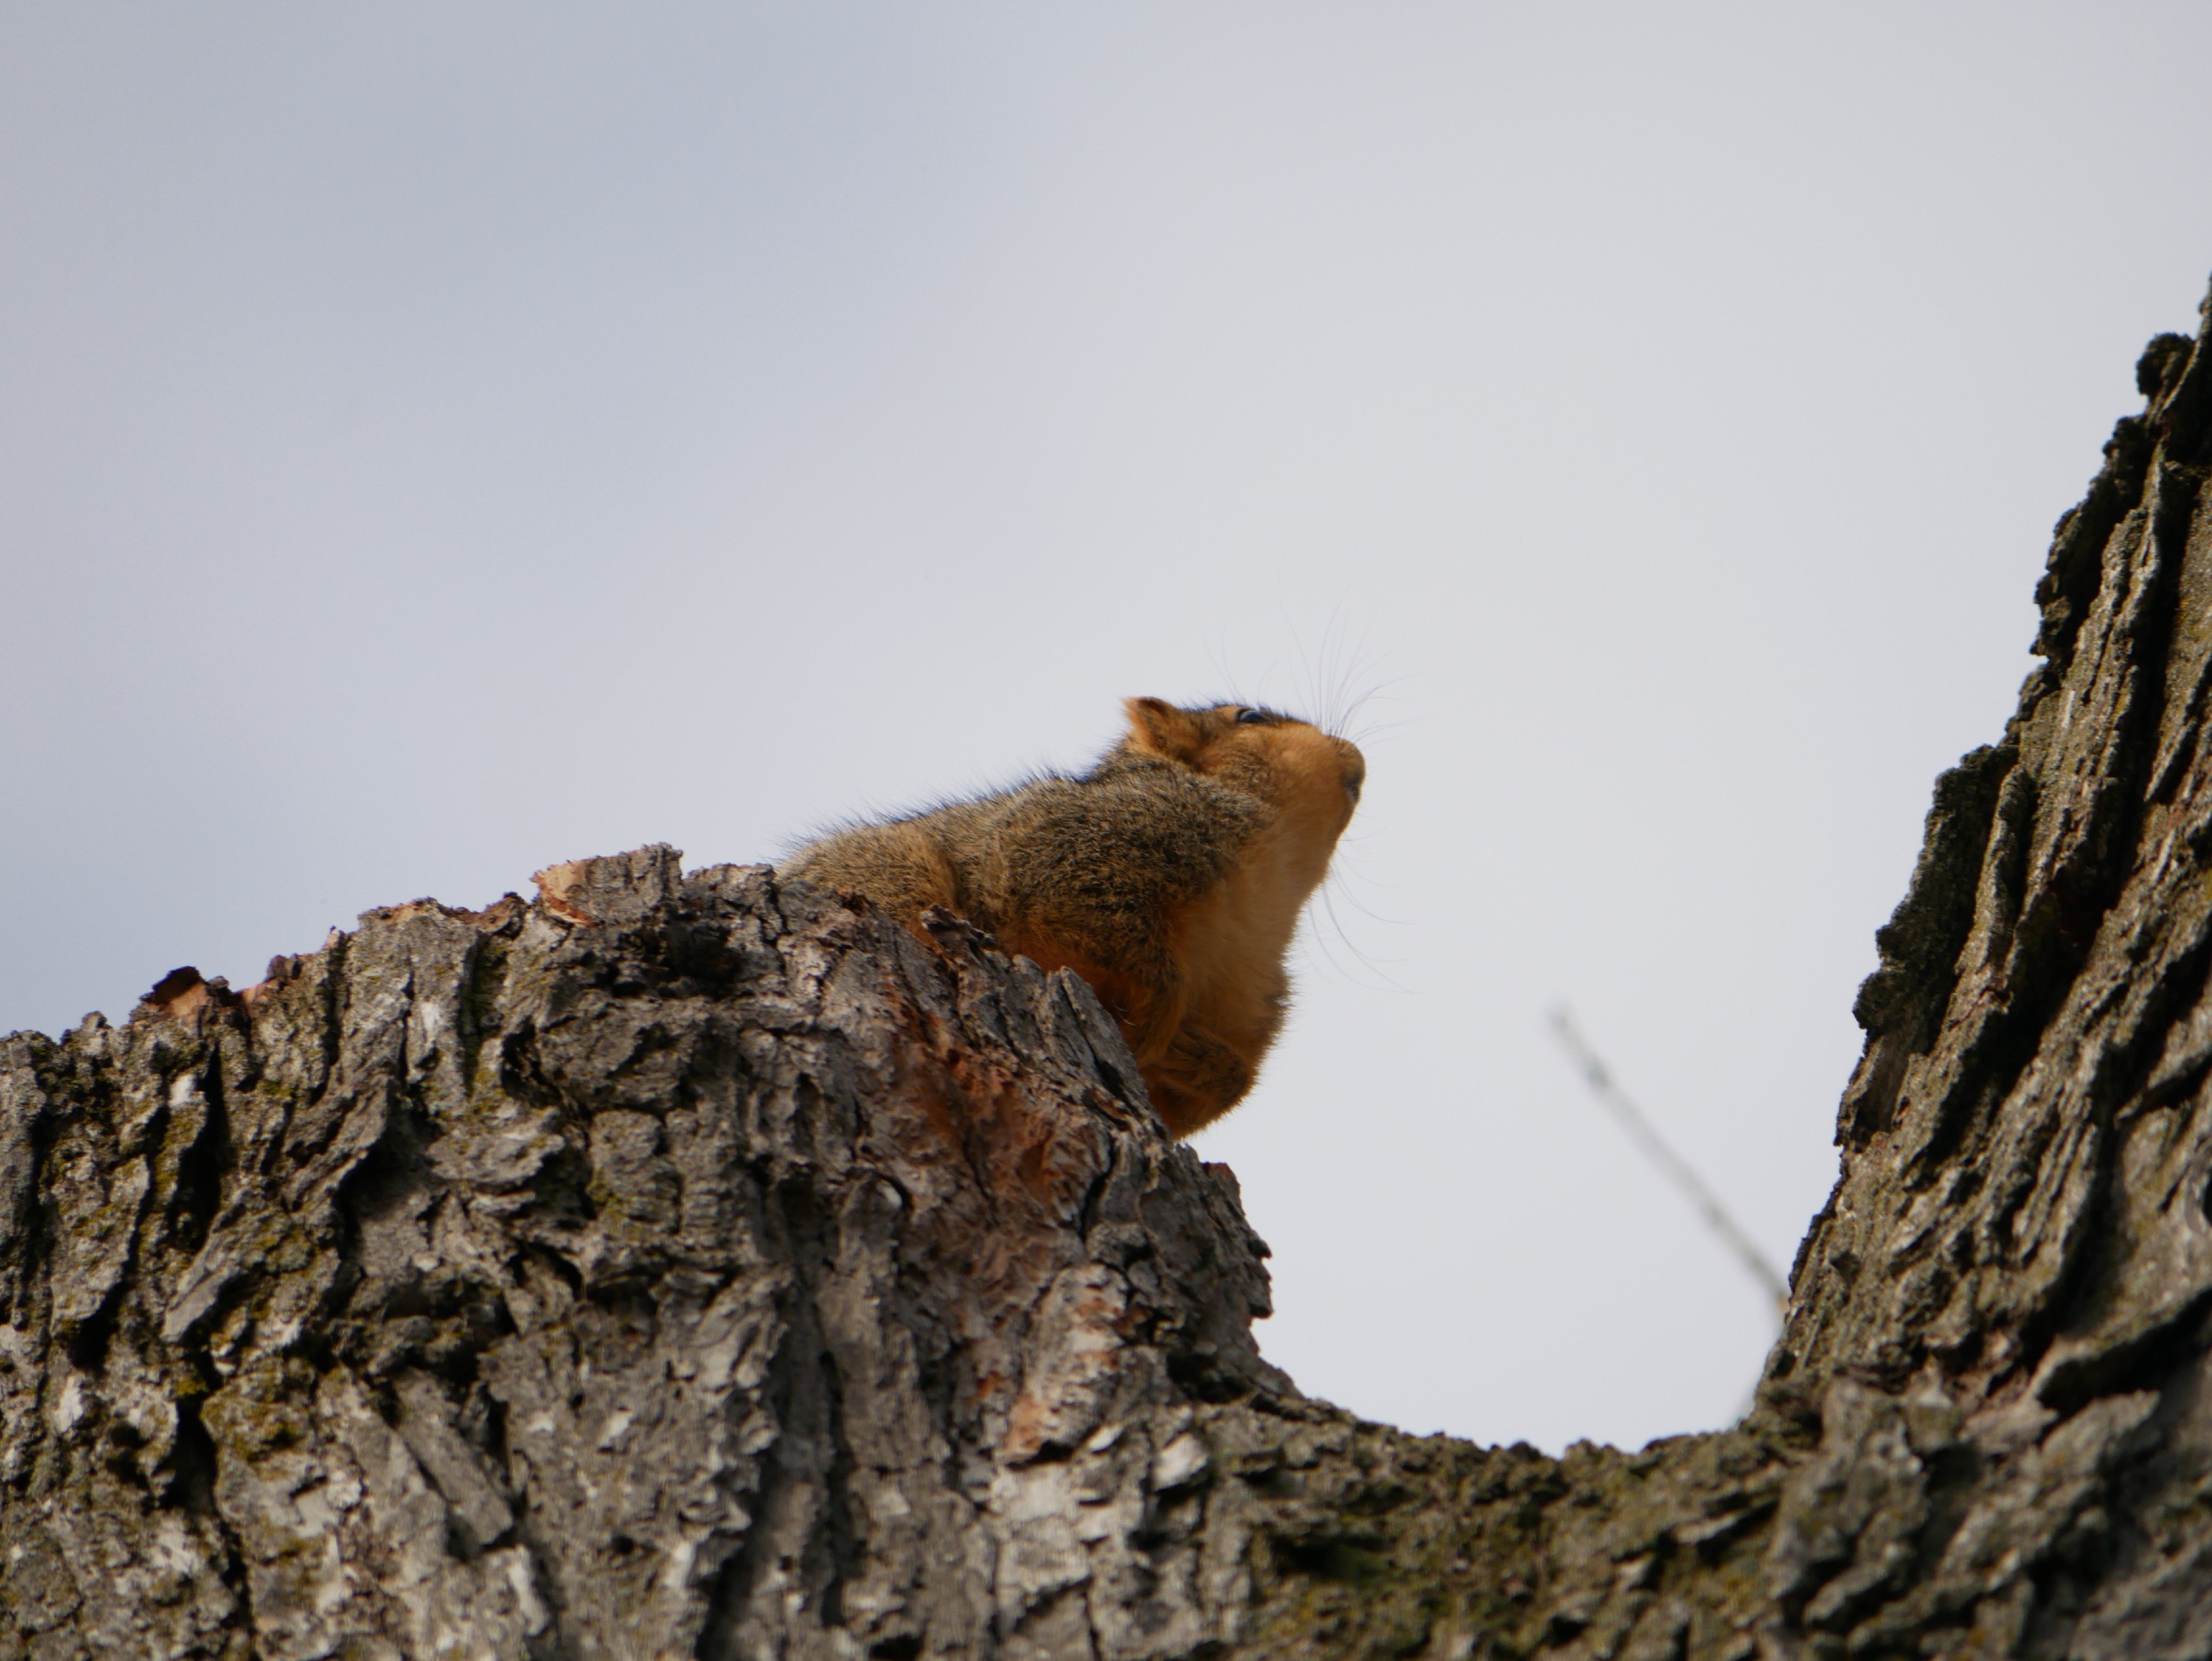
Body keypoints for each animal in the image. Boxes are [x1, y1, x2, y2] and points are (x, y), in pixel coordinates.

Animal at [778, 694, 1362, 1141]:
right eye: (1249, 717)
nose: (1355, 755)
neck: (1266, 894)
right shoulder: (1076, 849)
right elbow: (1105, 929)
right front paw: (1156, 1020)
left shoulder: (1249, 999)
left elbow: (1230, 1085)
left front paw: (1197, 1059)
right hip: (895, 870)